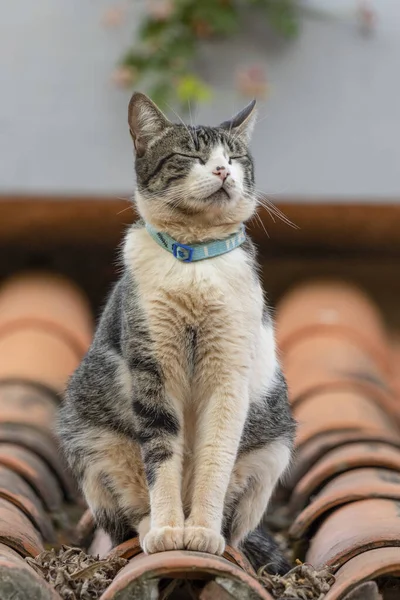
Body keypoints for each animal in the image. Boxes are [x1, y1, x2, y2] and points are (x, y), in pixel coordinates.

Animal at [59, 91, 296, 576]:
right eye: (191, 156)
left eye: (235, 157)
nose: (223, 170)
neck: (194, 262)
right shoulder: (153, 368)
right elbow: (162, 455)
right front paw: (171, 531)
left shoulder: (229, 374)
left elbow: (214, 457)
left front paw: (200, 533)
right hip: (89, 439)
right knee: (127, 513)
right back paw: (151, 529)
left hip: (273, 448)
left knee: (237, 524)